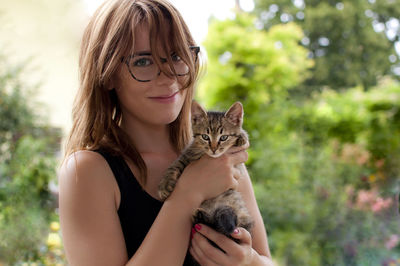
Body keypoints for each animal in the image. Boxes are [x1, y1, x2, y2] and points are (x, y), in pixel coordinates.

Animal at [159, 101, 255, 240]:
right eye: (205, 136)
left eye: (223, 137)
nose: (214, 149)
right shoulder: (187, 155)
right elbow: (175, 166)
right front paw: (164, 186)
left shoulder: (238, 166)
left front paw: (242, 136)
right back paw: (202, 217)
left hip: (241, 216)